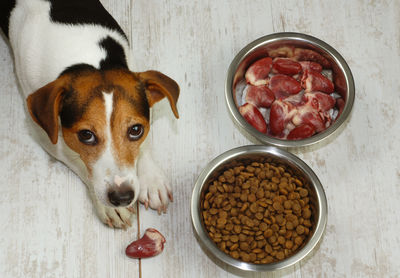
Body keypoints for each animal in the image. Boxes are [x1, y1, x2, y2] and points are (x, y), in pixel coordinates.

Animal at [0, 0, 178, 228]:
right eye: (86, 135)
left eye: (136, 130)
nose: (122, 197)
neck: (84, 58)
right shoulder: (47, 137)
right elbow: (80, 163)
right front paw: (107, 206)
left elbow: (144, 144)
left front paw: (152, 180)